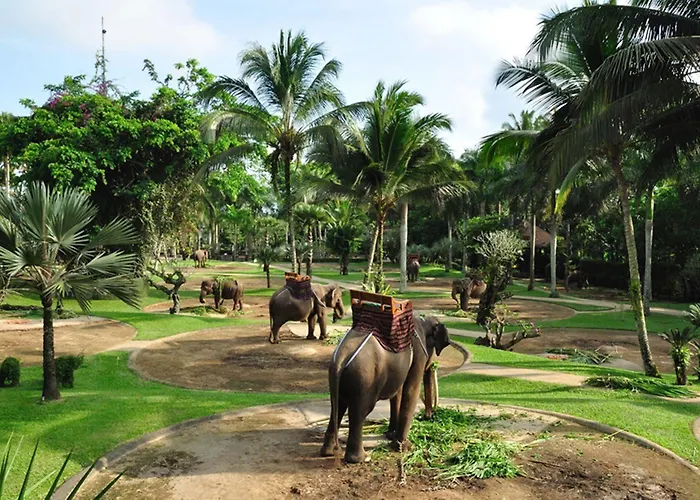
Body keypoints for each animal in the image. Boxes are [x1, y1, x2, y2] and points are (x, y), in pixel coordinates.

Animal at [320, 316, 450, 463]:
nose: (427, 417)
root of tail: (340, 361)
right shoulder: (418, 352)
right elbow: (411, 389)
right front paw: (404, 447)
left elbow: (397, 393)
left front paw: (390, 435)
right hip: (364, 379)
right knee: (359, 412)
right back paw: (362, 458)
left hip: (340, 379)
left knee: (337, 407)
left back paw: (328, 452)